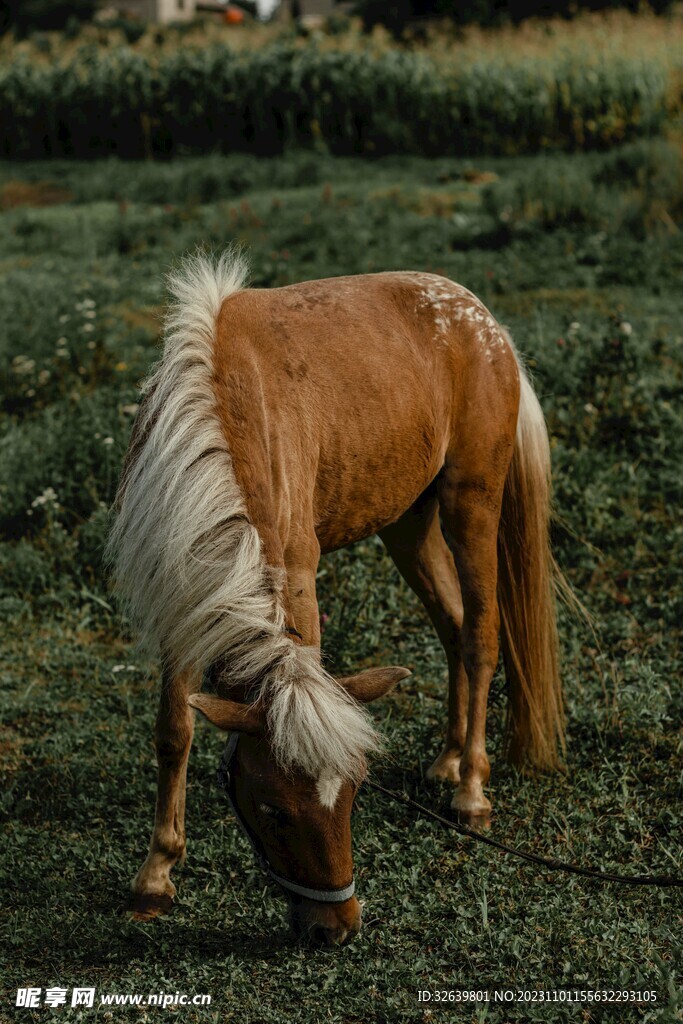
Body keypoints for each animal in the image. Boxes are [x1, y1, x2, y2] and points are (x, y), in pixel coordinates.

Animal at [108, 250, 564, 946]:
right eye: (271, 808)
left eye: (353, 794)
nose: (336, 929)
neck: (223, 414)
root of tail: (487, 324)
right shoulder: (185, 592)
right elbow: (174, 730)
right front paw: (155, 878)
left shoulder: (296, 568)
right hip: (409, 525)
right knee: (454, 626)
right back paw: (447, 759)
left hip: (472, 504)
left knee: (481, 637)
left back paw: (471, 791)